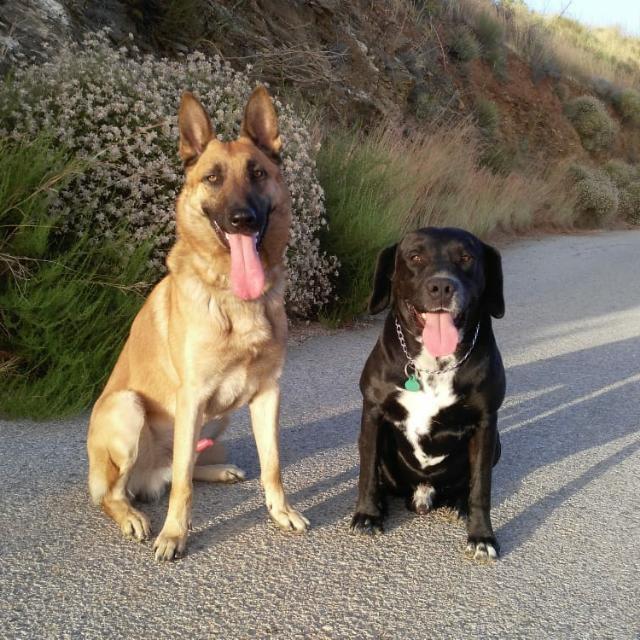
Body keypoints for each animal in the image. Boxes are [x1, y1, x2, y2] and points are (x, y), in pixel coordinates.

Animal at [88, 86, 310, 560]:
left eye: (258, 173)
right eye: (212, 178)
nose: (243, 219)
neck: (232, 296)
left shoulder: (267, 394)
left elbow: (273, 465)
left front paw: (281, 512)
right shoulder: (190, 398)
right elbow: (182, 489)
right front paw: (174, 535)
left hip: (218, 417)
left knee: (180, 468)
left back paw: (218, 470)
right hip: (128, 408)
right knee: (124, 492)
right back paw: (133, 516)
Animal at [350, 226, 504, 560]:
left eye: (466, 257)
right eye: (415, 256)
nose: (442, 286)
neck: (434, 364)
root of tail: (423, 494)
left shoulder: (486, 424)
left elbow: (481, 487)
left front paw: (482, 535)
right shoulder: (373, 413)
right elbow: (367, 474)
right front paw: (367, 515)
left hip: (497, 443)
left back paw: (460, 505)